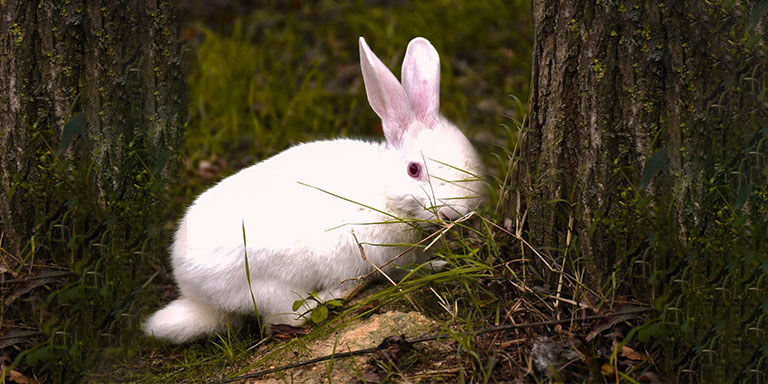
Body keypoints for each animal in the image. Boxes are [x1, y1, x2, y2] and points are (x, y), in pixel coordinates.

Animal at [141, 36, 484, 342]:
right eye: (414, 170)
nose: (454, 212)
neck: (386, 195)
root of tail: (195, 294)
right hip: (272, 283)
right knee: (285, 318)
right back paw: (334, 294)